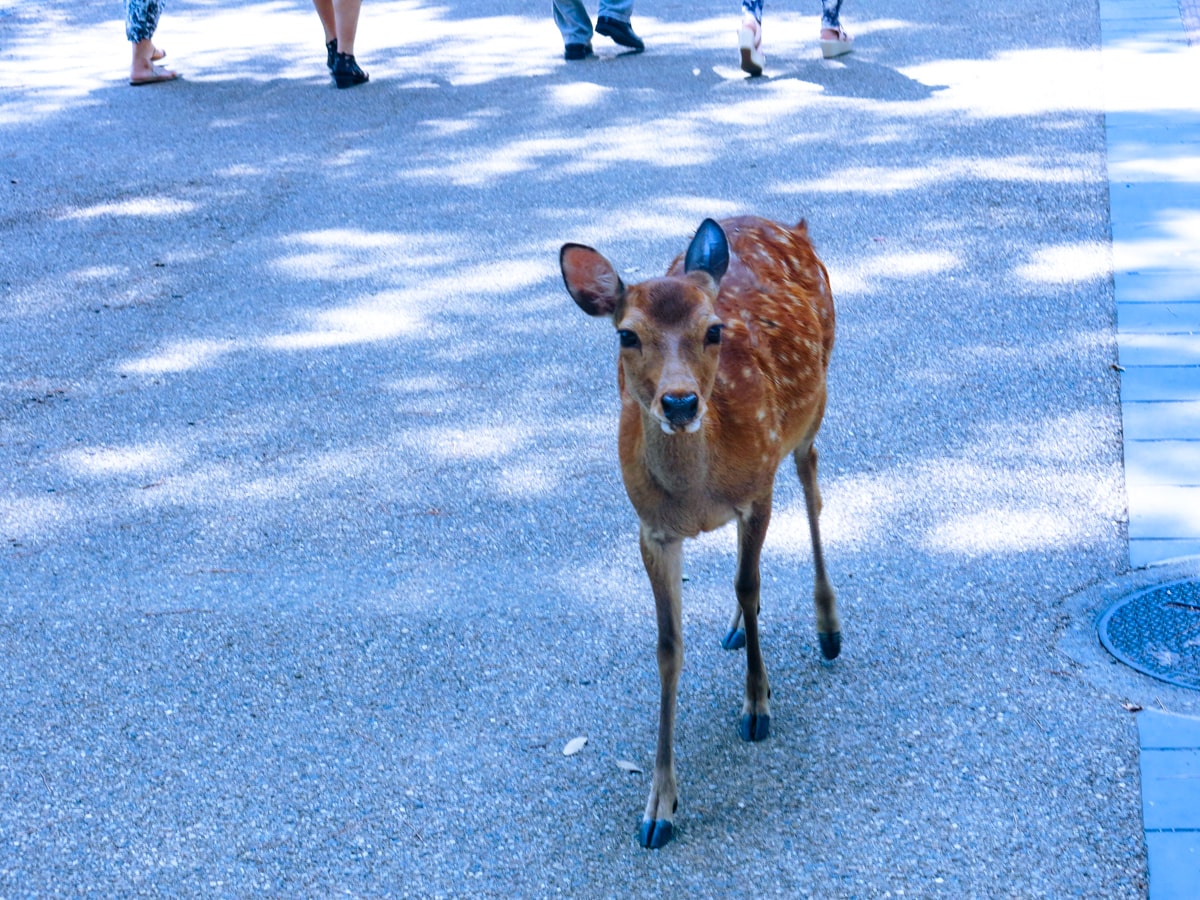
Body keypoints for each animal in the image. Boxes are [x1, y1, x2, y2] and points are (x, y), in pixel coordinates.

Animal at [559, 216, 840, 849]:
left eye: (713, 330)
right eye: (626, 336)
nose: (681, 401)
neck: (697, 496)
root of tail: (792, 226)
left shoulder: (757, 489)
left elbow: (749, 586)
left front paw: (757, 705)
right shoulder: (652, 530)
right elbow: (669, 646)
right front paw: (659, 806)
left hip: (812, 413)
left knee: (812, 489)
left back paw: (829, 628)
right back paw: (737, 629)